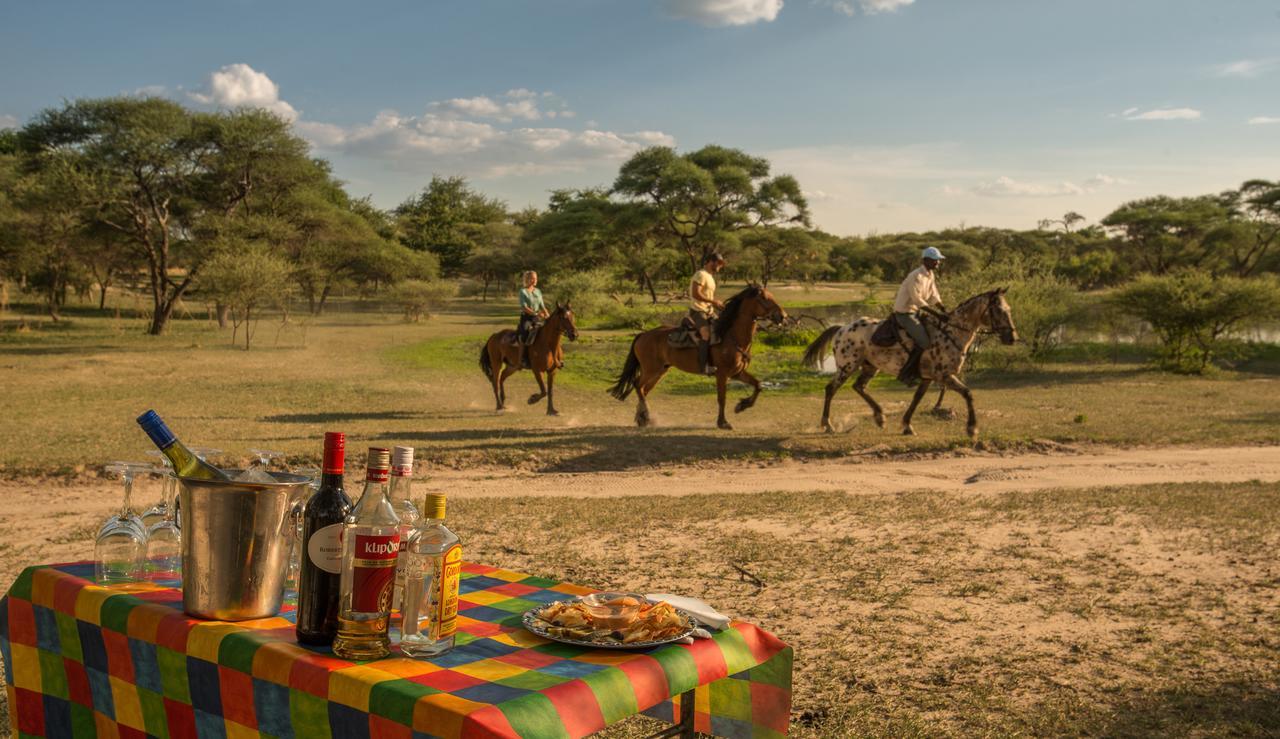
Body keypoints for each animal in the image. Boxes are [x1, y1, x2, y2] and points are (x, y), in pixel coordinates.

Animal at [604, 285, 783, 430]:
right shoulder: (722, 374)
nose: (782, 316)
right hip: (651, 369)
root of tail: (643, 334)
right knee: (637, 385)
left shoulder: (737, 373)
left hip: (660, 371)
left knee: (643, 390)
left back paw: (642, 418)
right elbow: (722, 398)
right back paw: (645, 416)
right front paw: (723, 422)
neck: (730, 336)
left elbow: (758, 385)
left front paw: (741, 406)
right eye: (764, 298)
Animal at [798, 288, 1018, 438]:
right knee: (831, 389)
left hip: (870, 366)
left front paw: (906, 425)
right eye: (999, 310)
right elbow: (968, 393)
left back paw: (880, 417)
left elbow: (916, 399)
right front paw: (972, 428)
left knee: (859, 387)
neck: (950, 332)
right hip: (847, 366)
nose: (1012, 338)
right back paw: (827, 425)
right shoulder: (944, 376)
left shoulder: (928, 378)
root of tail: (842, 328)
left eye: (1008, 309)